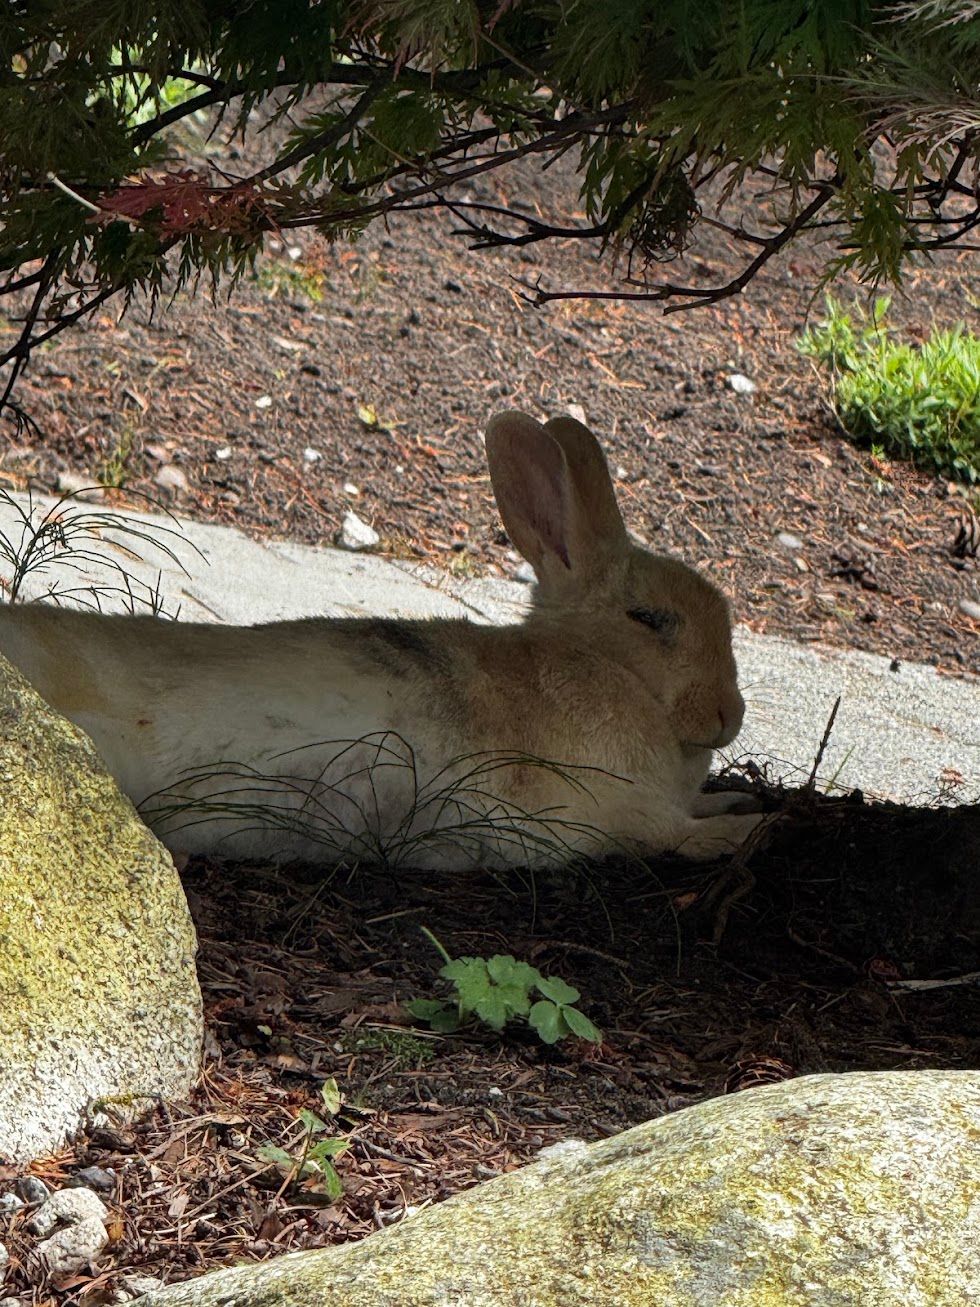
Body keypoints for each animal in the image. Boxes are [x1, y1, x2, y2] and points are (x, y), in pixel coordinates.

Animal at [0, 410, 762, 869]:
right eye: (649, 619)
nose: (729, 717)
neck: (600, 665)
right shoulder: (619, 810)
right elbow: (674, 835)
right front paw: (746, 832)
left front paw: (744, 804)